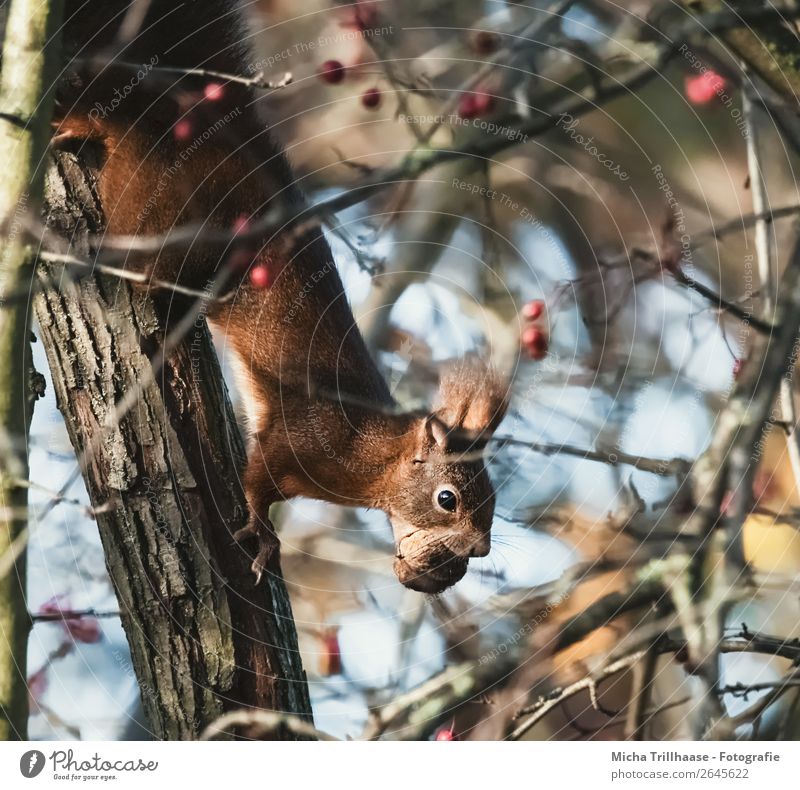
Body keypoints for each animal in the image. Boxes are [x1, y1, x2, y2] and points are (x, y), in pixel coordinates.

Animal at [54, 0, 506, 592]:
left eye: (493, 501)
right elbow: (255, 481)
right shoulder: (297, 441)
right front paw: (264, 535)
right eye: (447, 499)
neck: (371, 450)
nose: (479, 549)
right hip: (157, 223)